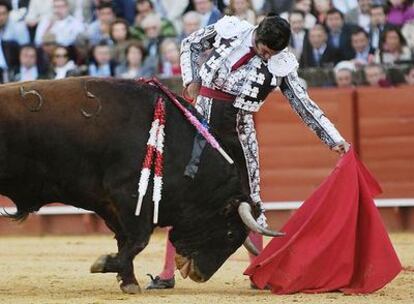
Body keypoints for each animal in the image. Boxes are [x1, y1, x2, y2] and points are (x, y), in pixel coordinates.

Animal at [0, 77, 278, 294]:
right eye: (230, 234)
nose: (201, 275)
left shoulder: (110, 204)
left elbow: (126, 241)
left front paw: (128, 281)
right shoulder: (129, 196)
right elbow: (138, 240)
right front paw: (105, 264)